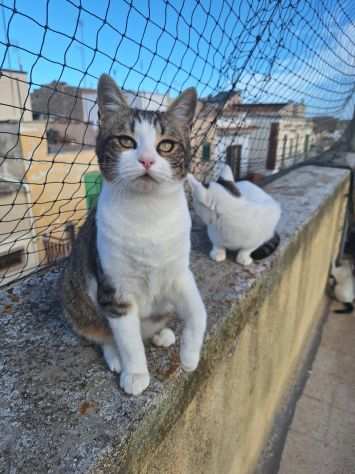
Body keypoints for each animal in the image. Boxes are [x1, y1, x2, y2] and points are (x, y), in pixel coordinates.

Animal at [60, 76, 206, 396]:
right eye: (126, 141)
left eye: (166, 145)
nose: (147, 160)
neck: (148, 212)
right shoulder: (116, 289)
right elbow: (128, 339)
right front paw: (136, 373)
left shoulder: (179, 273)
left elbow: (198, 311)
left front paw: (190, 357)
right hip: (74, 297)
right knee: (102, 333)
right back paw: (116, 357)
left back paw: (161, 334)